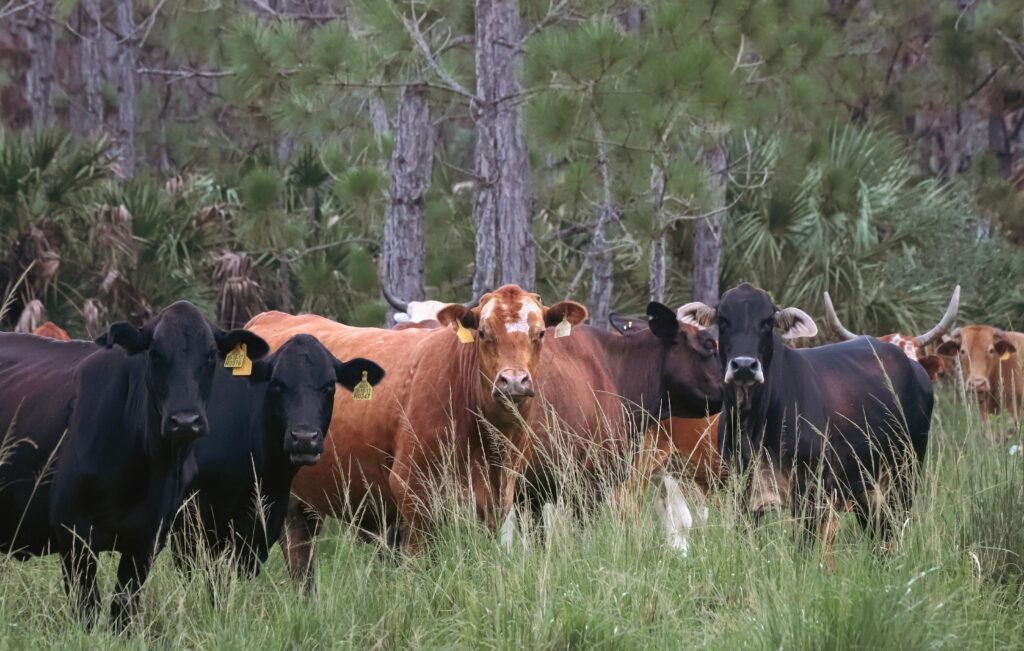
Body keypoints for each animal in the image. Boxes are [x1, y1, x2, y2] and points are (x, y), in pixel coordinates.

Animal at [49, 301, 269, 630]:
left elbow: (123, 611)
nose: (185, 421)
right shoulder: (73, 535)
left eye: (210, 355)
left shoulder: (148, 540)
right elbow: (87, 612)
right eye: (155, 353)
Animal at [244, 285, 588, 590]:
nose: (513, 381)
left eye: (540, 334)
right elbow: (419, 567)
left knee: (301, 561)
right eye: (483, 333)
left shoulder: (496, 500)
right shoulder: (413, 494)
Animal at [679, 283, 933, 564]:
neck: (753, 425)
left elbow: (803, 548)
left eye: (767, 321)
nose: (744, 365)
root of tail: (916, 369)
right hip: (865, 486)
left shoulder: (810, 492)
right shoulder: (742, 492)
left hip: (905, 475)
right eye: (723, 319)